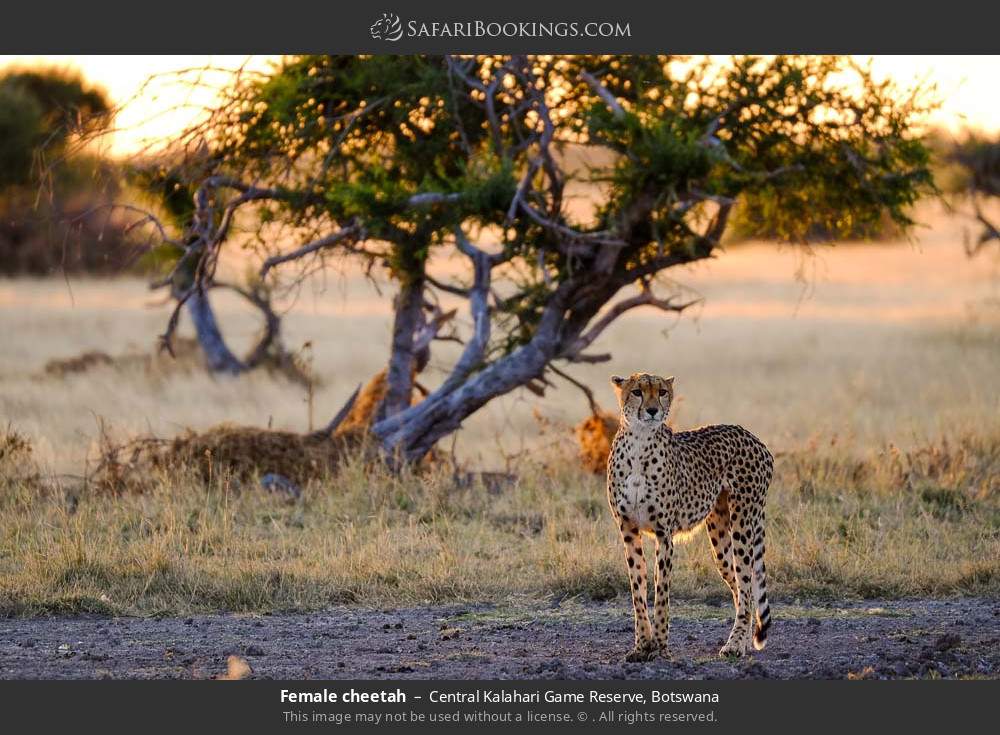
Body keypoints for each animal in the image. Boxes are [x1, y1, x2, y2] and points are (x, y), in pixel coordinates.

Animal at [604, 374, 776, 660]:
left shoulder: (664, 534)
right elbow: (638, 590)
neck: (639, 443)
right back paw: (741, 641)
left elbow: (661, 593)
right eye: (637, 392)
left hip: (743, 522)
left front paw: (661, 647)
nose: (653, 410)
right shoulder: (628, 531)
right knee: (743, 588)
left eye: (662, 392)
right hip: (719, 539)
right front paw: (641, 646)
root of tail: (751, 436)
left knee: (746, 582)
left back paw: (734, 644)